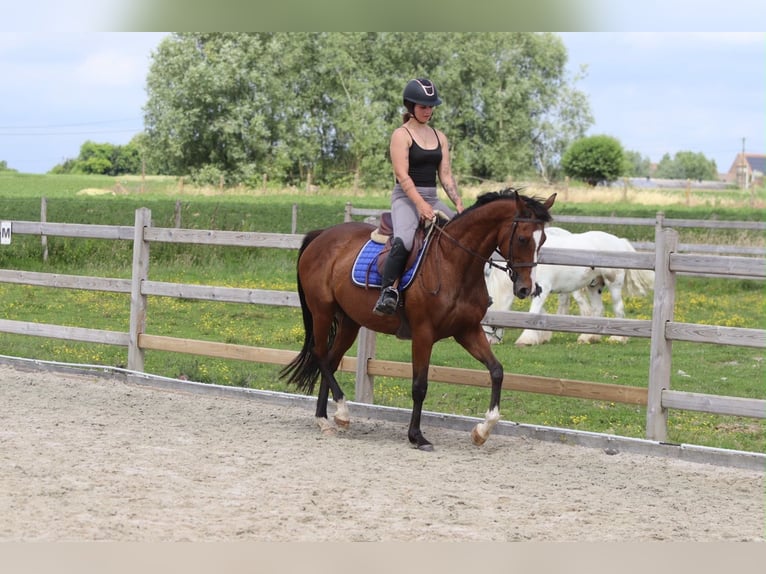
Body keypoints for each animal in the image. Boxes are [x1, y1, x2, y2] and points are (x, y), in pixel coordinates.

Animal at [280, 188, 556, 451]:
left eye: (542, 240)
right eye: (522, 238)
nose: (525, 289)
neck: (453, 262)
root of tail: (322, 234)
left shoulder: (467, 330)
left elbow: (497, 371)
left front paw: (482, 431)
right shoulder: (424, 334)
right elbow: (419, 385)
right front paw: (417, 436)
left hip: (350, 321)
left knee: (331, 361)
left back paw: (326, 418)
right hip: (322, 312)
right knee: (320, 355)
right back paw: (342, 413)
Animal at [483, 227, 654, 346]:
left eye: (491, 325)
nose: (490, 342)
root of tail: (620, 241)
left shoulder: (542, 289)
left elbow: (533, 313)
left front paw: (526, 339)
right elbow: (539, 312)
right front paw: (541, 337)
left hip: (614, 284)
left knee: (618, 308)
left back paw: (618, 338)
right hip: (594, 286)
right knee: (598, 309)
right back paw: (588, 337)